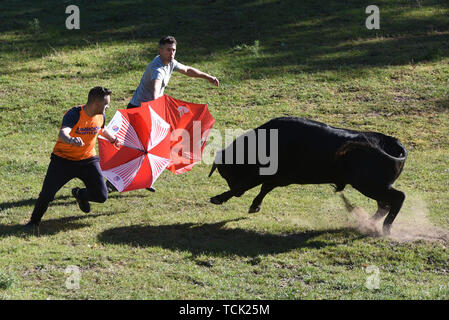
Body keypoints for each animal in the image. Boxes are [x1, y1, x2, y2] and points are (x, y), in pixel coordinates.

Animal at [208, 117, 408, 235]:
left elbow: (248, 185)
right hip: (375, 186)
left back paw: (385, 229)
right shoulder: (278, 178)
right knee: (384, 205)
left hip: (370, 185)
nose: (238, 194)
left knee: (398, 198)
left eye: (228, 172)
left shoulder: (265, 175)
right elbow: (263, 188)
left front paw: (218, 198)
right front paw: (254, 206)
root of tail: (394, 143)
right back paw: (367, 223)